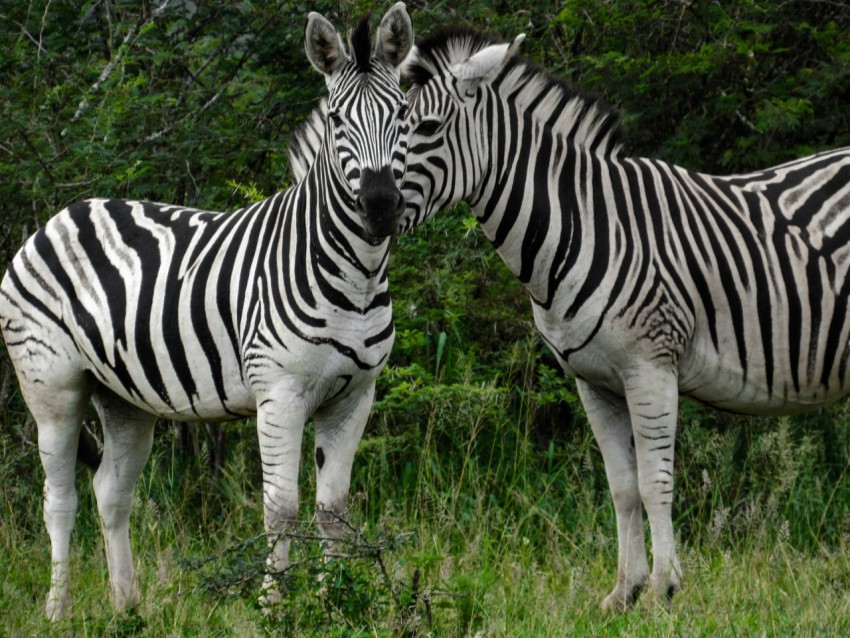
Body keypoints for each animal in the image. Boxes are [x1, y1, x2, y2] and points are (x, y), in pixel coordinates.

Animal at [0, 4, 414, 619]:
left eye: (404, 114)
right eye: (338, 120)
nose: (381, 207)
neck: (354, 275)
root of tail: (61, 214)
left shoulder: (355, 395)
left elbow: (333, 511)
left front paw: (334, 602)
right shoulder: (279, 393)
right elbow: (281, 508)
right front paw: (272, 606)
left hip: (123, 397)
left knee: (110, 494)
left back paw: (128, 606)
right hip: (51, 384)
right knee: (60, 499)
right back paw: (58, 610)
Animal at [400, 26, 850, 610]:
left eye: (428, 128)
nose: (368, 204)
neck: (585, 225)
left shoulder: (651, 365)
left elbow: (657, 483)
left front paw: (663, 589)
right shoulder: (593, 380)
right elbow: (622, 486)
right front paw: (624, 591)